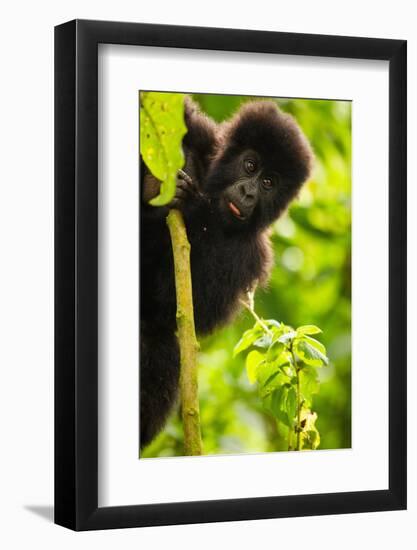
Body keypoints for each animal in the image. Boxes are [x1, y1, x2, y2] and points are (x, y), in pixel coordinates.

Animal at [140, 97, 312, 450]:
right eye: (250, 166)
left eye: (269, 183)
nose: (248, 193)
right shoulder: (204, 137)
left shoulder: (251, 255)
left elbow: (177, 306)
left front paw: (187, 203)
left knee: (160, 341)